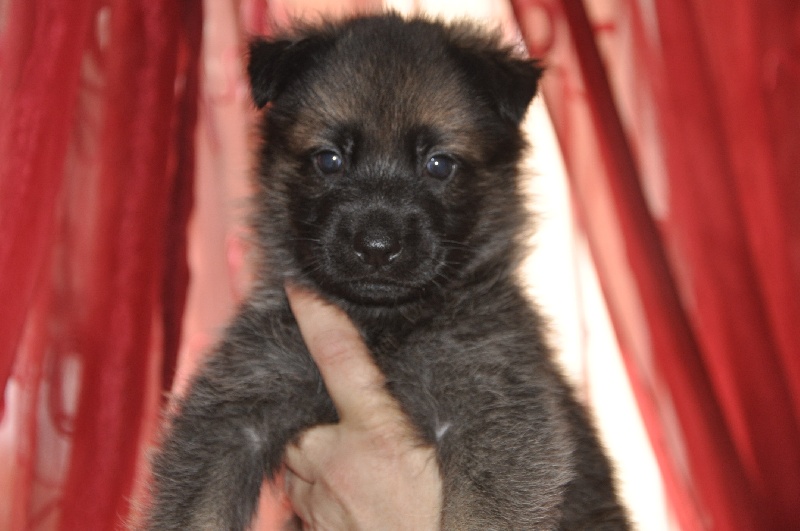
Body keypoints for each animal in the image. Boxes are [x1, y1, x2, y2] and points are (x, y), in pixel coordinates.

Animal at [144, 13, 632, 531]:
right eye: (329, 159)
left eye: (439, 164)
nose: (376, 247)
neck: (381, 327)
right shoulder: (235, 410)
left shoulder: (493, 419)